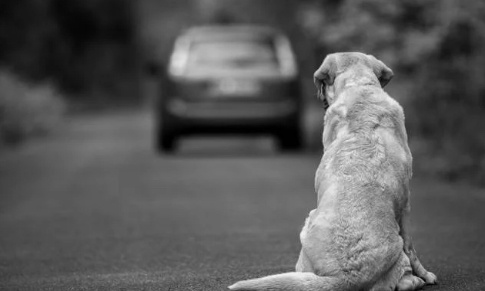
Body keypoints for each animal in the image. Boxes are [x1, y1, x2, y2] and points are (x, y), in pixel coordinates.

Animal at [229, 53, 436, 291]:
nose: (320, 97)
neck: (359, 86)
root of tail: (345, 277)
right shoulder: (406, 204)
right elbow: (411, 247)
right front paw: (426, 275)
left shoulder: (405, 204)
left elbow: (411, 248)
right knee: (405, 277)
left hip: (307, 223)